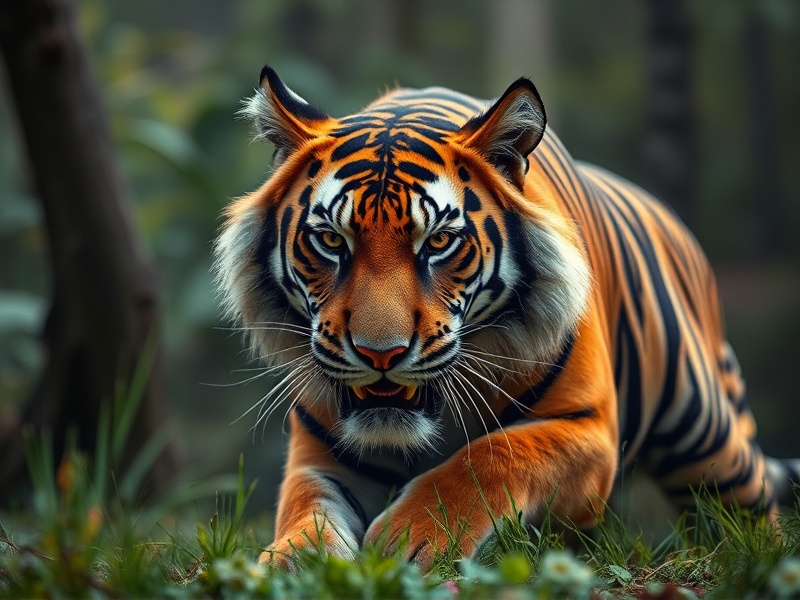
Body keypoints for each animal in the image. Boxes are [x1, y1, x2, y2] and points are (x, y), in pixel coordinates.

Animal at [214, 65, 800, 571]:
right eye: (332, 241)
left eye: (439, 242)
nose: (381, 354)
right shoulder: (319, 453)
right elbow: (306, 508)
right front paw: (290, 561)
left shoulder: (588, 427)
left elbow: (495, 454)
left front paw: (410, 539)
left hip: (706, 435)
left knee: (748, 504)